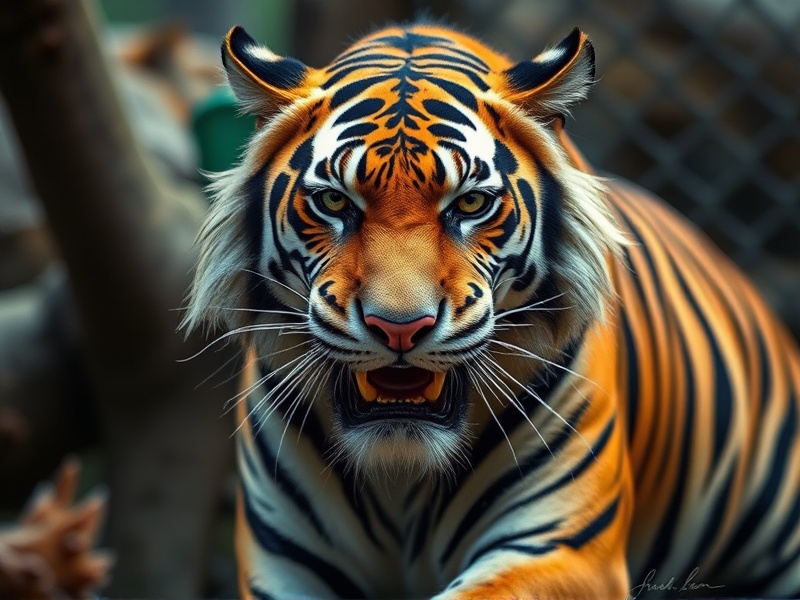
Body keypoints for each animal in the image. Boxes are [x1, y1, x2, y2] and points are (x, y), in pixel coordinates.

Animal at [184, 22, 800, 599]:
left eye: (472, 203)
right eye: (334, 201)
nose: (398, 327)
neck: (400, 472)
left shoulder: (564, 550)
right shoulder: (283, 566)